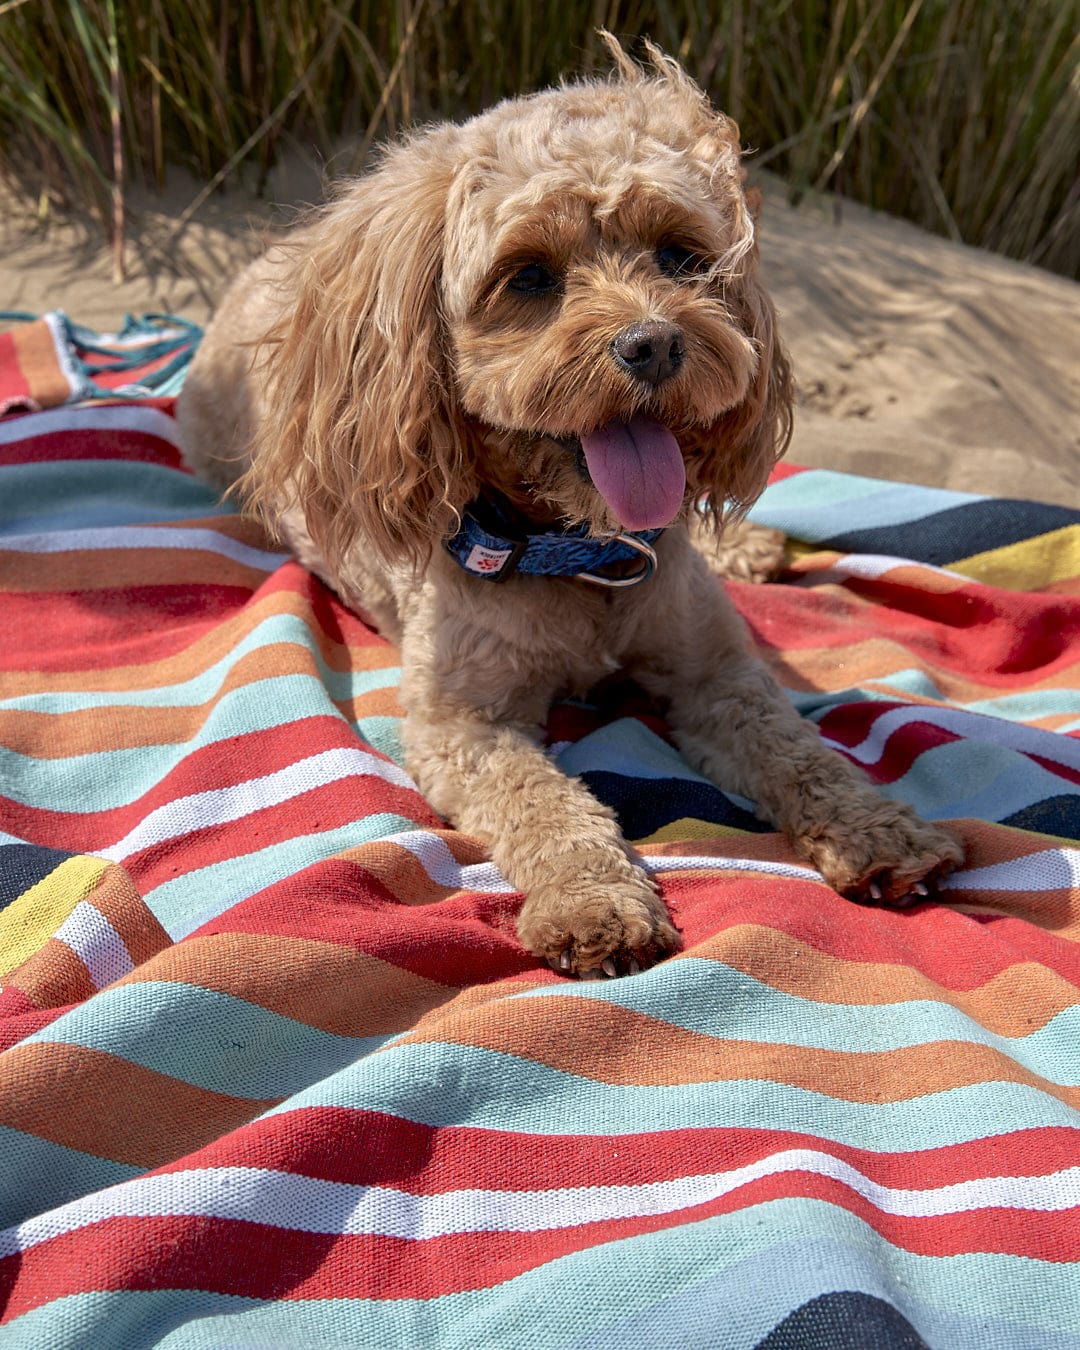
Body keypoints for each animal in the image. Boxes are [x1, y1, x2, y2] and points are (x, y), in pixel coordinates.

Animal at [176, 34, 961, 982]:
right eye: (528, 276)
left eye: (679, 255)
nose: (654, 343)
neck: (583, 552)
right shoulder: (460, 723)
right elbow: (545, 803)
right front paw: (594, 901)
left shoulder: (718, 675)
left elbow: (801, 752)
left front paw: (876, 827)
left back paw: (748, 546)